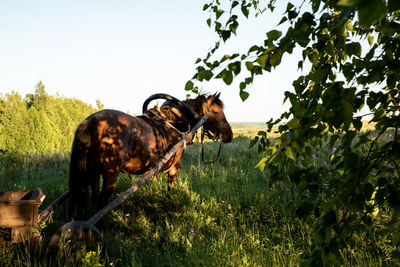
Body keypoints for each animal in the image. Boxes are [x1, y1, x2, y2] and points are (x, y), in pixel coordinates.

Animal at [68, 92, 231, 220]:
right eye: (216, 112)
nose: (229, 134)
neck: (175, 122)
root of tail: (90, 121)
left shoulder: (154, 168)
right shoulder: (175, 167)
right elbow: (170, 189)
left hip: (92, 174)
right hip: (110, 175)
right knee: (101, 203)